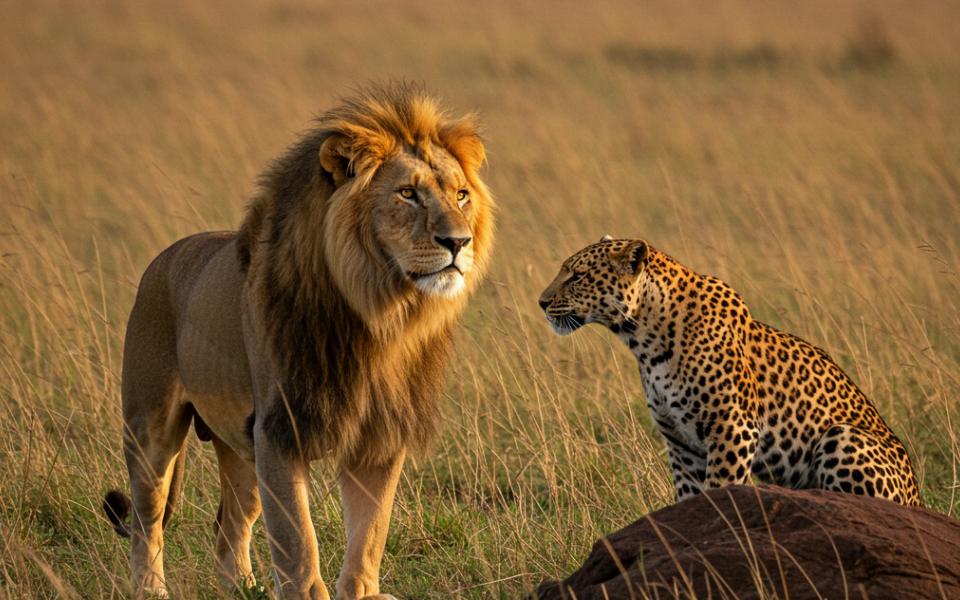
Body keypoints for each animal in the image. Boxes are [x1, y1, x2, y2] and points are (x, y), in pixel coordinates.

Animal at [102, 83, 494, 600]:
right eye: (407, 194)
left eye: (462, 195)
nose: (458, 242)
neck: (379, 315)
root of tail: (164, 257)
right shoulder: (280, 430)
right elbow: (297, 538)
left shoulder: (379, 434)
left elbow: (370, 531)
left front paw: (363, 592)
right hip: (152, 429)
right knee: (147, 521)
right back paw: (152, 589)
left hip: (241, 447)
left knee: (230, 527)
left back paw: (243, 588)